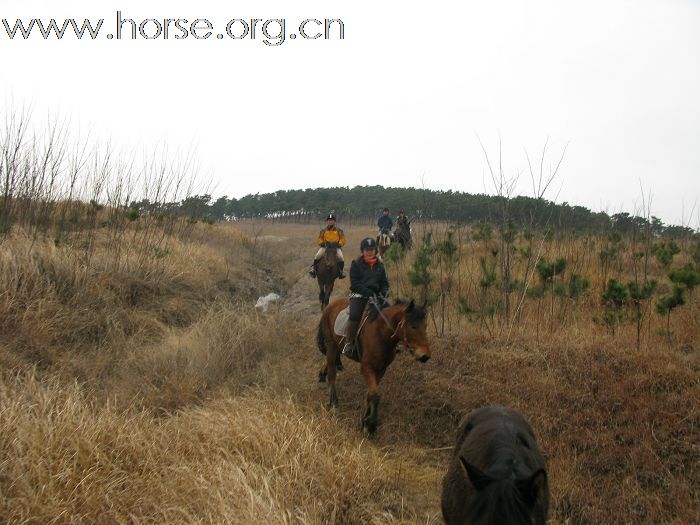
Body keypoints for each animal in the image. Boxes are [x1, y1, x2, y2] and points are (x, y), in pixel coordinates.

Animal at [318, 296, 432, 432]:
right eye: (413, 326)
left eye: (425, 326)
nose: (425, 356)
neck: (381, 333)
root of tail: (329, 305)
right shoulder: (367, 368)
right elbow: (375, 395)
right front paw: (370, 425)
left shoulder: (381, 369)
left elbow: (371, 394)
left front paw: (365, 420)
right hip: (331, 345)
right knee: (332, 374)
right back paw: (334, 403)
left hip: (337, 346)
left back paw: (322, 375)